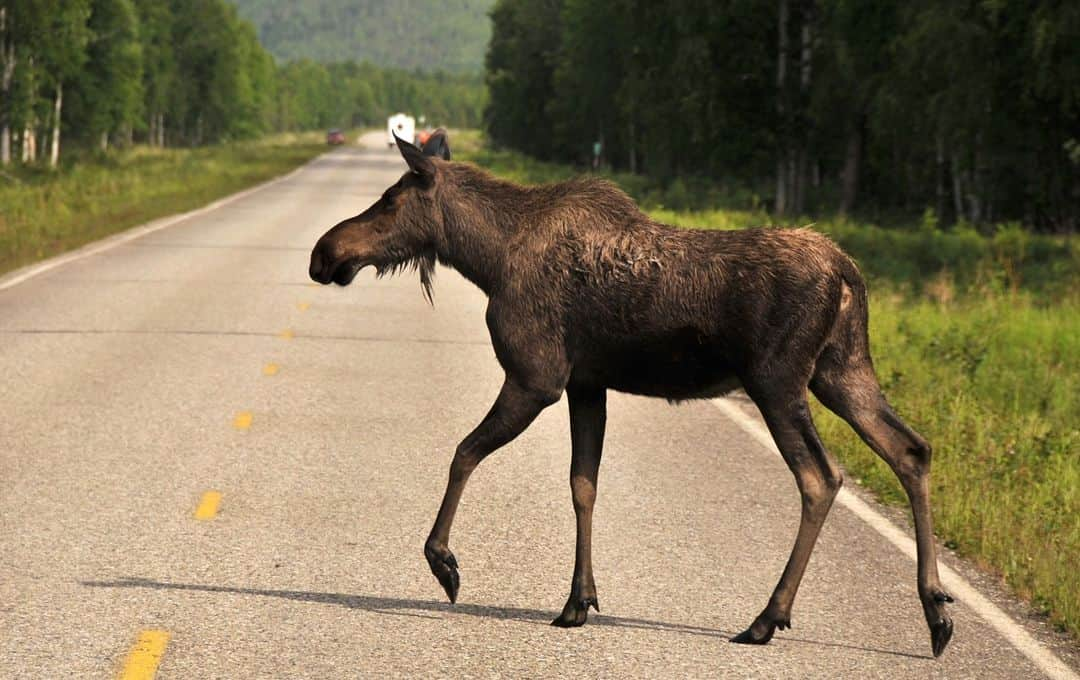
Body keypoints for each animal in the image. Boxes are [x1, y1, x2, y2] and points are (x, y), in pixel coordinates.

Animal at [306, 128, 954, 660]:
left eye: (390, 199)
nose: (323, 253)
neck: (486, 258)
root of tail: (848, 272)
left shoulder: (536, 377)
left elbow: (463, 452)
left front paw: (443, 562)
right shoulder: (586, 384)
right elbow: (582, 485)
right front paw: (578, 600)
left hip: (778, 381)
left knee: (822, 477)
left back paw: (767, 618)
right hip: (843, 370)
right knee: (911, 449)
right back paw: (936, 613)